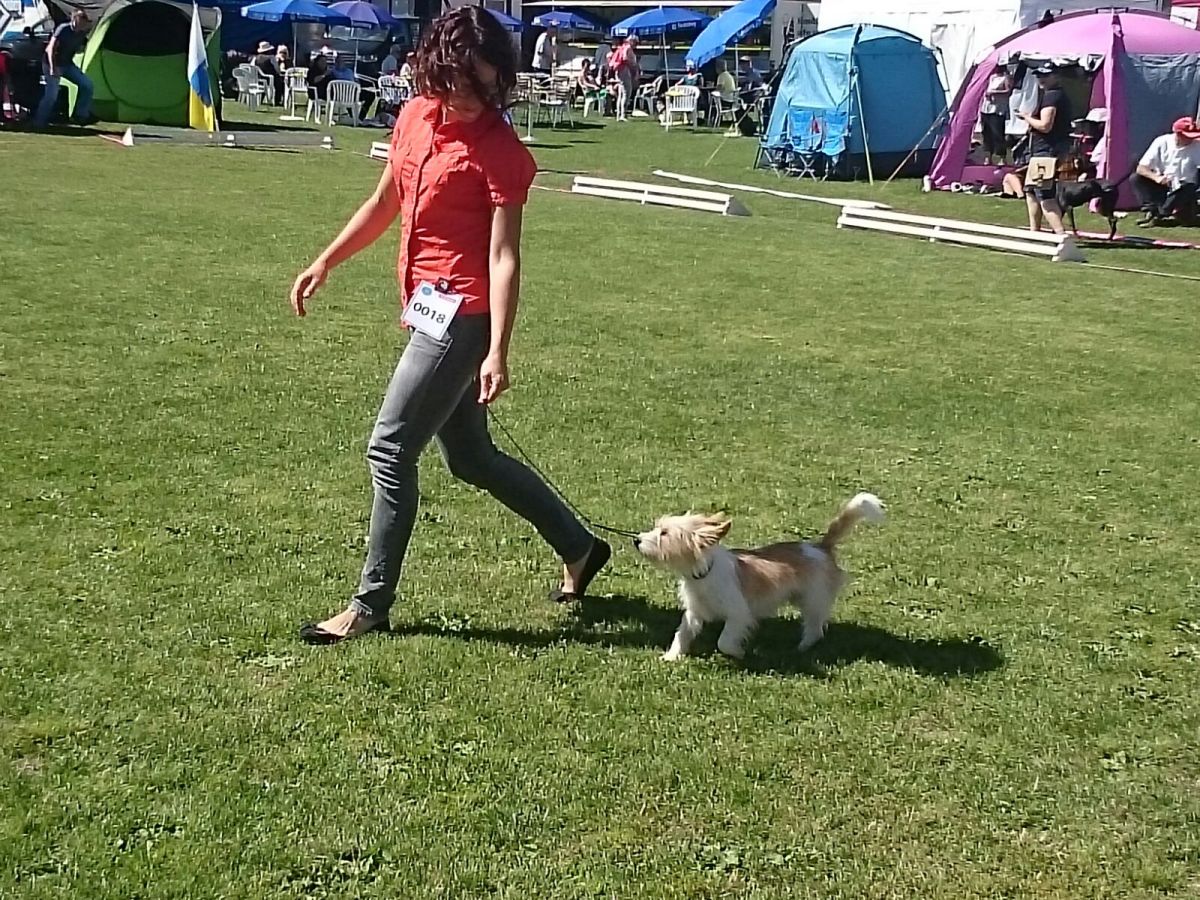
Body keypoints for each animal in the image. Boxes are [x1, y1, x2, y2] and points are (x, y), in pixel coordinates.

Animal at [634, 493, 885, 661]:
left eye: (664, 534)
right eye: (657, 527)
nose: (636, 540)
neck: (705, 573)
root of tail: (820, 547)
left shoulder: (738, 614)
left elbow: (724, 641)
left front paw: (738, 653)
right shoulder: (694, 612)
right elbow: (682, 633)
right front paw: (672, 656)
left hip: (813, 599)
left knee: (815, 627)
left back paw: (802, 647)